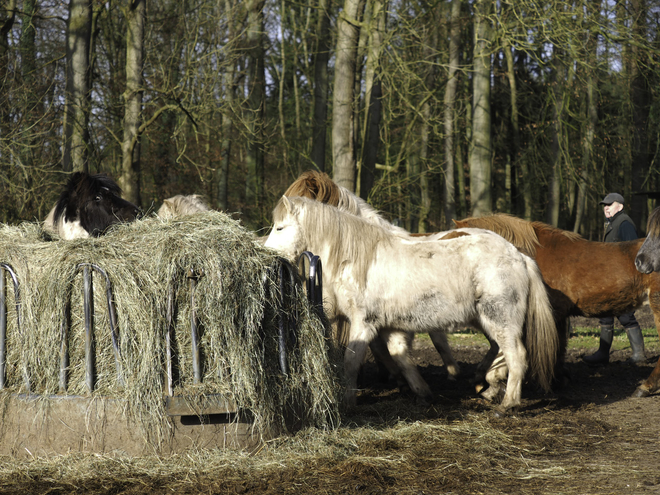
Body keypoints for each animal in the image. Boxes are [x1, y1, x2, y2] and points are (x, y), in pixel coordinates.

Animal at [266, 196, 560, 412]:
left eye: (280, 227)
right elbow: (400, 358)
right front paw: (423, 392)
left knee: (516, 355)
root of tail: (519, 256)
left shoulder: (364, 323)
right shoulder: (390, 327)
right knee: (501, 352)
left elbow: (351, 361)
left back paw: (508, 403)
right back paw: (489, 386)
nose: (267, 254)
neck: (357, 260)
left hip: (499, 317)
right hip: (487, 319)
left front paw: (347, 402)